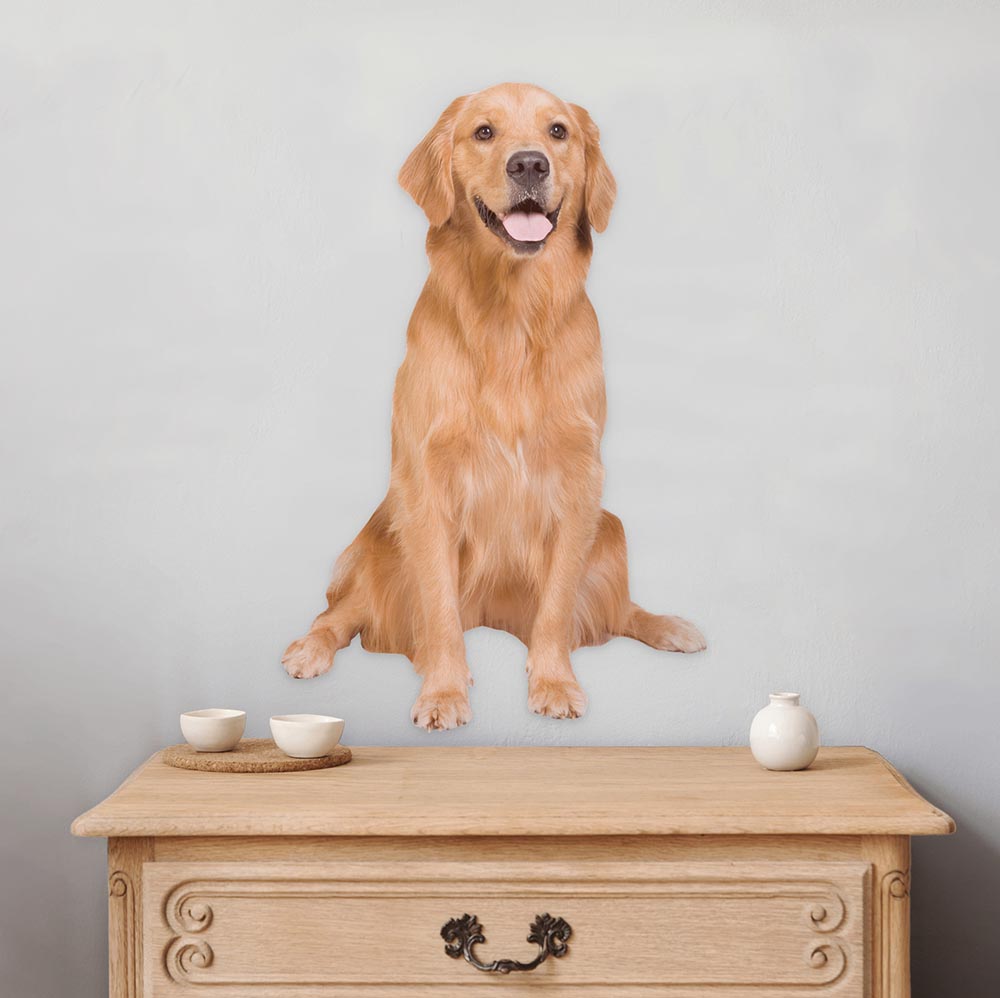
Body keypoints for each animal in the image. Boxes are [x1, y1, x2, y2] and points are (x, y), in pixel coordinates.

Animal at [282, 84, 704, 728]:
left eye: (558, 131)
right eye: (483, 132)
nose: (529, 164)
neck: (512, 314)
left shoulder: (580, 478)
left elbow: (558, 605)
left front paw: (554, 682)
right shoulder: (427, 481)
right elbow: (437, 608)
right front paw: (443, 692)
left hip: (610, 531)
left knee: (616, 611)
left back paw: (669, 627)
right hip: (379, 540)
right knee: (340, 614)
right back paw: (309, 649)